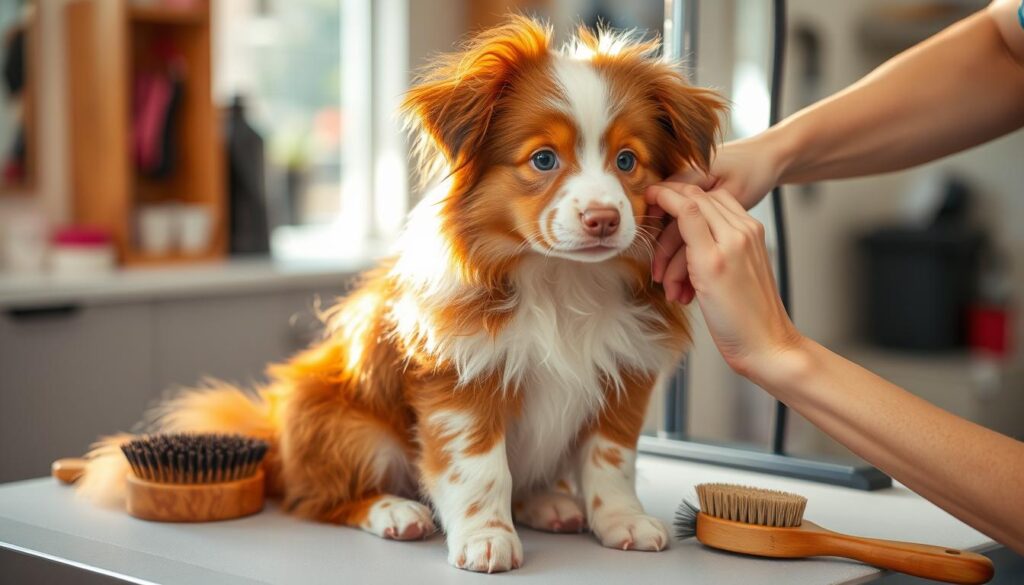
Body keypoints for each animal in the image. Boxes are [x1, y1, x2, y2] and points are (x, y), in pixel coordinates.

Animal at [79, 16, 724, 573]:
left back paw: (547, 503)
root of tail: (274, 446)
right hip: (342, 426)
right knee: (315, 501)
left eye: (627, 162)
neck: (560, 280)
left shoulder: (625, 374)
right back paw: (394, 511)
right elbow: (481, 469)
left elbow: (610, 461)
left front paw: (621, 521)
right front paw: (486, 538)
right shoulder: (459, 380)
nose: (603, 219)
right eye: (543, 159)